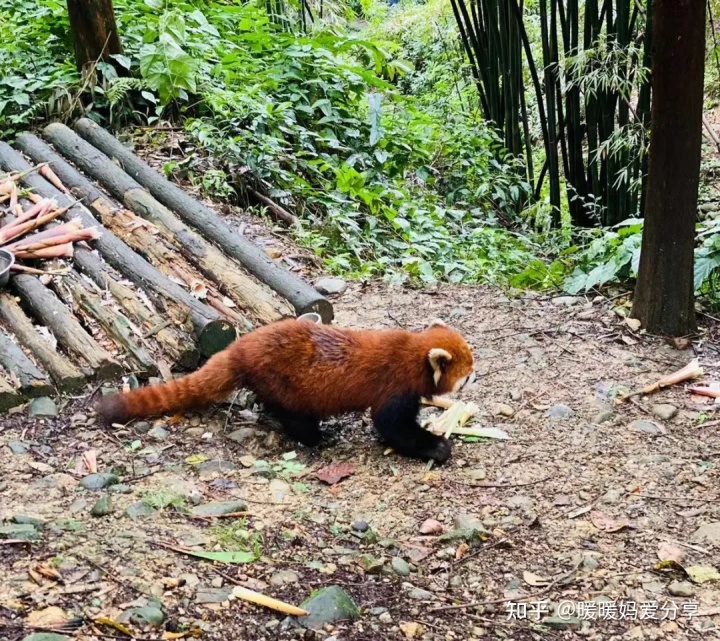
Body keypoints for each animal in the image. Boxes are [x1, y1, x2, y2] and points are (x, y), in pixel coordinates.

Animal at [97, 316, 478, 460]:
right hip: (283, 382)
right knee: (291, 413)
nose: (477, 375)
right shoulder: (394, 388)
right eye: (468, 374)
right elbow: (392, 427)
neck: (413, 354)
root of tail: (240, 347)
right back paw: (312, 435)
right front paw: (436, 446)